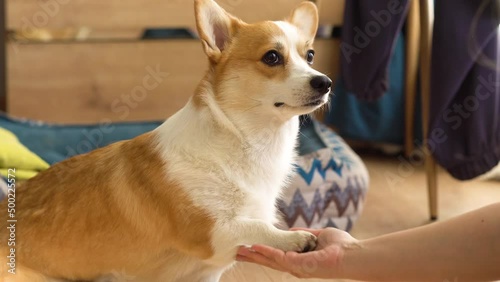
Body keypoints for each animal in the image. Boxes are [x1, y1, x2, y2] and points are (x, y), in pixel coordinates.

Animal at [2, 1, 332, 280]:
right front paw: (292, 238)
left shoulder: (209, 271)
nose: (325, 82)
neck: (251, 143)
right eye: (272, 57)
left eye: (310, 56)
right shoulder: (211, 232)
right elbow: (256, 225)